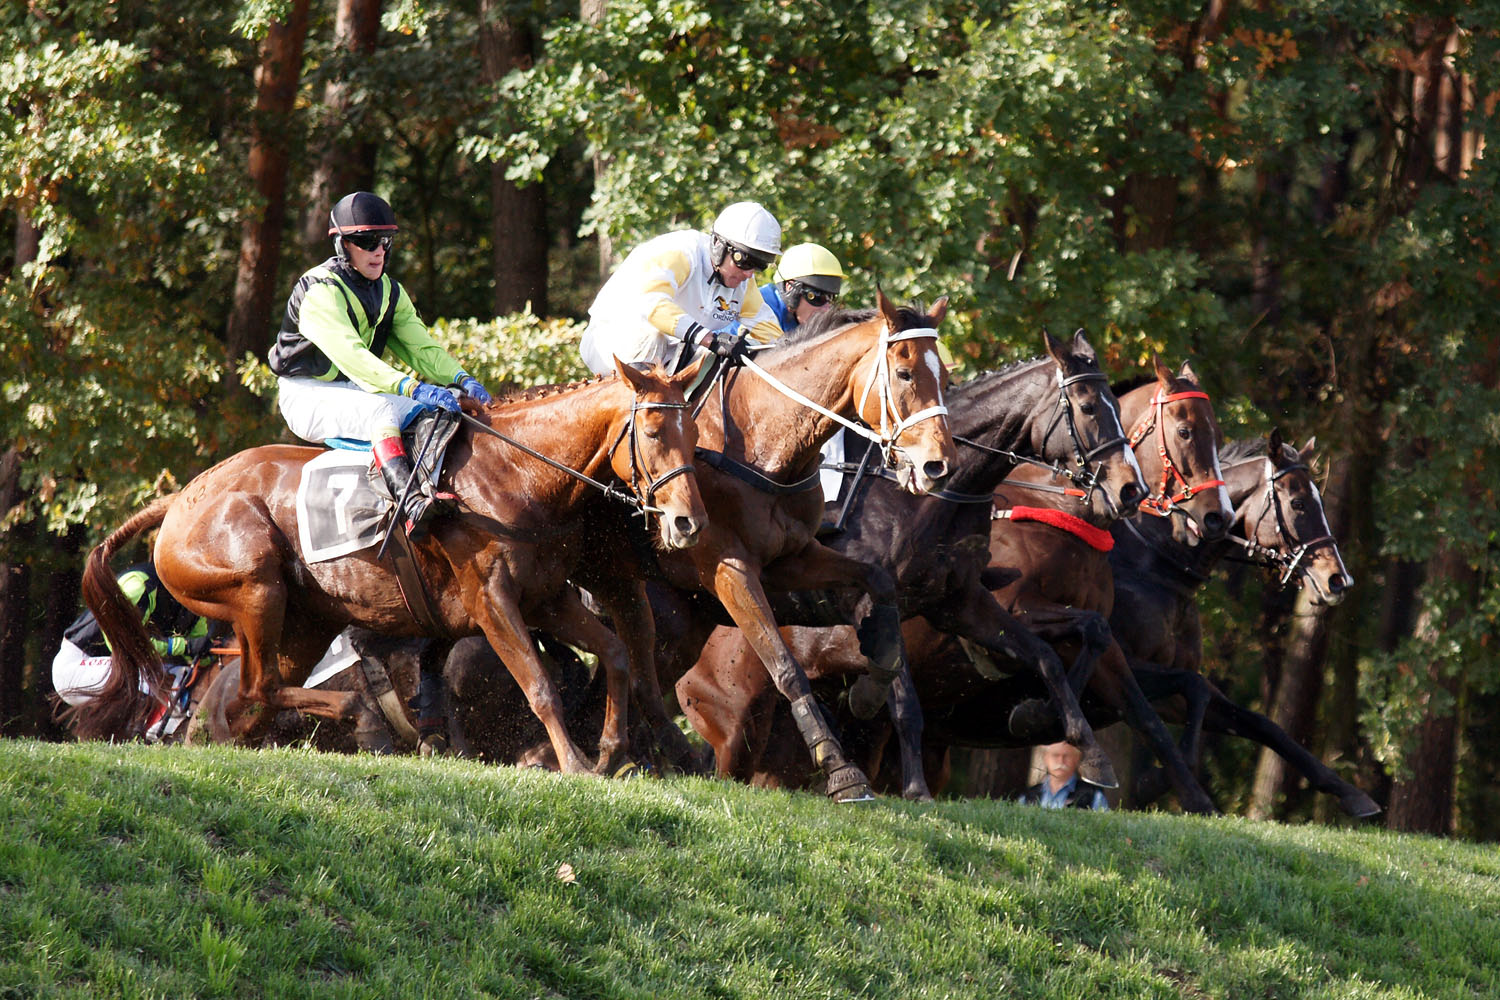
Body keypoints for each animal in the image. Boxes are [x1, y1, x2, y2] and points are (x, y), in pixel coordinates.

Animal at [73, 364, 717, 779]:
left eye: (694, 433)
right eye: (654, 432)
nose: (688, 522)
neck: (517, 475)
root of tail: (181, 498)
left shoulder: (546, 599)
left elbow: (615, 653)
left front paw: (611, 752)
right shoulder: (493, 602)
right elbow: (539, 684)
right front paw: (578, 765)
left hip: (305, 622)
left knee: (254, 699)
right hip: (255, 586)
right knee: (258, 687)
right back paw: (366, 723)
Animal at [567, 290, 954, 803]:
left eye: (945, 377)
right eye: (905, 373)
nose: (938, 466)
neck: (763, 442)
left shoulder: (792, 559)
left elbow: (879, 583)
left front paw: (869, 689)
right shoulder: (729, 569)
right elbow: (785, 667)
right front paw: (841, 771)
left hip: (676, 627)